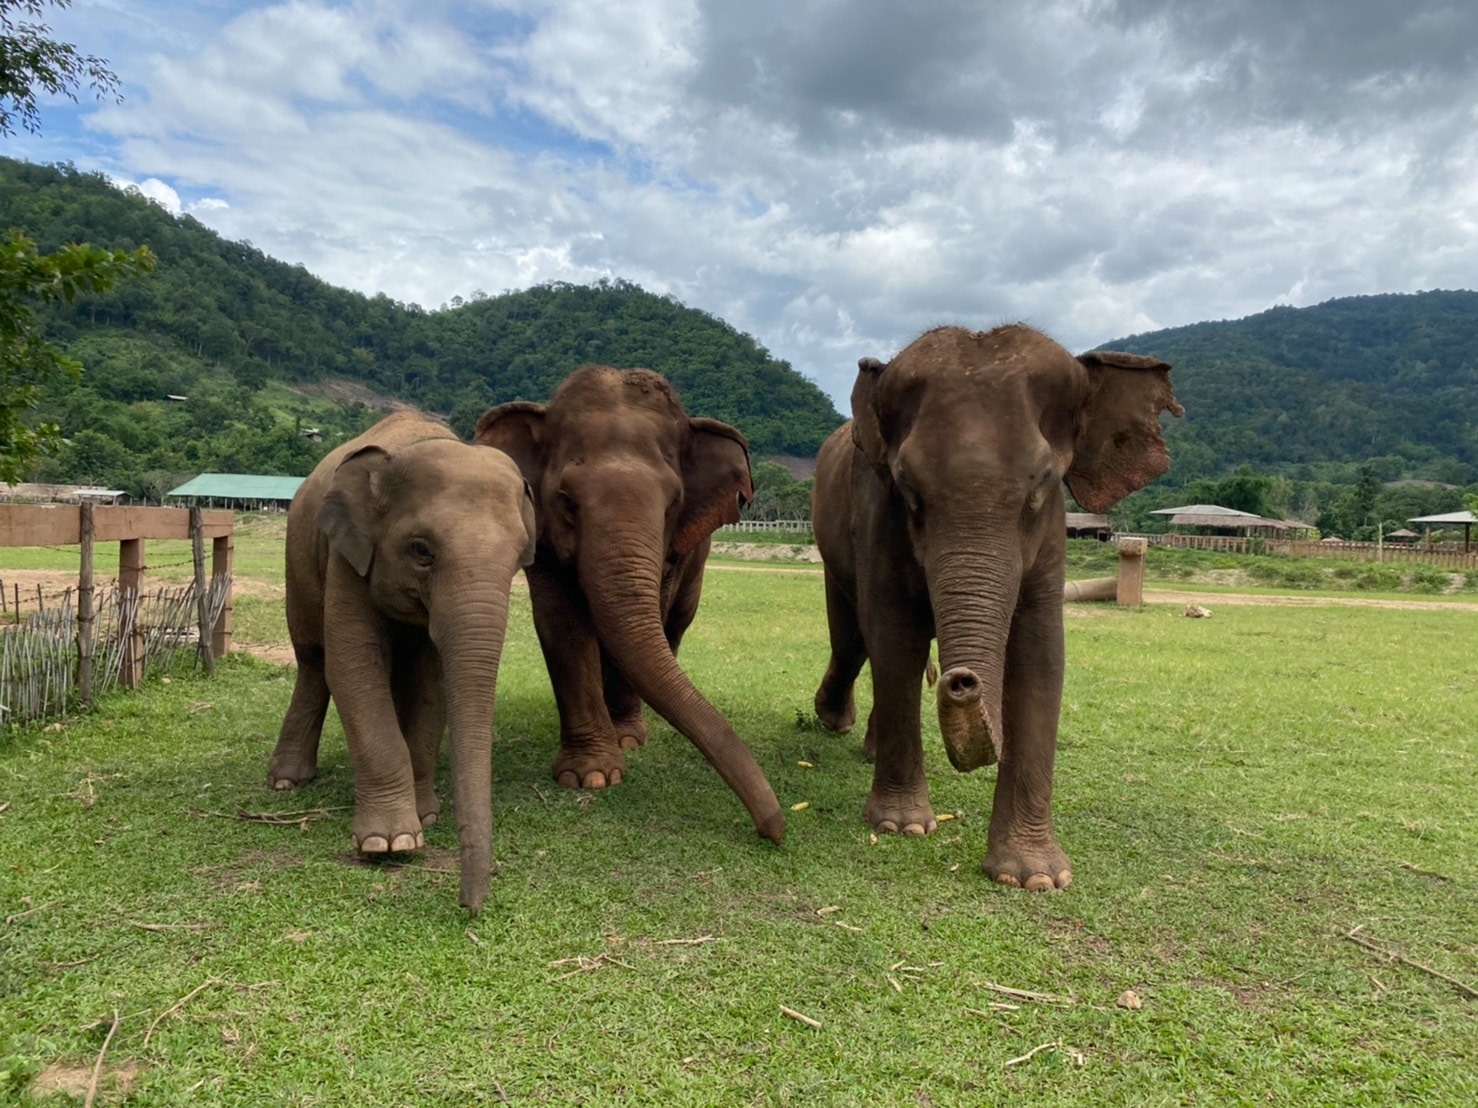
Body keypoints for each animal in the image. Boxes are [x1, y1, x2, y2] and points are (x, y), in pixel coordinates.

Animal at [266, 413, 537, 915]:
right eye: (421, 551)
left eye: (518, 556)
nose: (470, 907)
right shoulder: (347, 556)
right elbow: (353, 666)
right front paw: (389, 843)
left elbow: (432, 681)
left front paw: (425, 814)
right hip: (298, 560)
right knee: (313, 661)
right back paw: (287, 782)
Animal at [478, 369, 792, 845]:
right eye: (567, 501)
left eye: (672, 504)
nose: (776, 829)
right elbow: (562, 623)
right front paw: (591, 777)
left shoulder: (674, 551)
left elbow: (652, 615)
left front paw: (627, 741)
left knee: (674, 625)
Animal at [809, 323, 1176, 892]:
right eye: (907, 486)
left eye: (1042, 482)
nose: (962, 681)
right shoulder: (876, 512)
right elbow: (894, 635)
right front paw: (901, 826)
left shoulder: (1052, 532)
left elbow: (1041, 652)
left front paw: (1035, 878)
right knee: (853, 638)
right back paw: (834, 720)